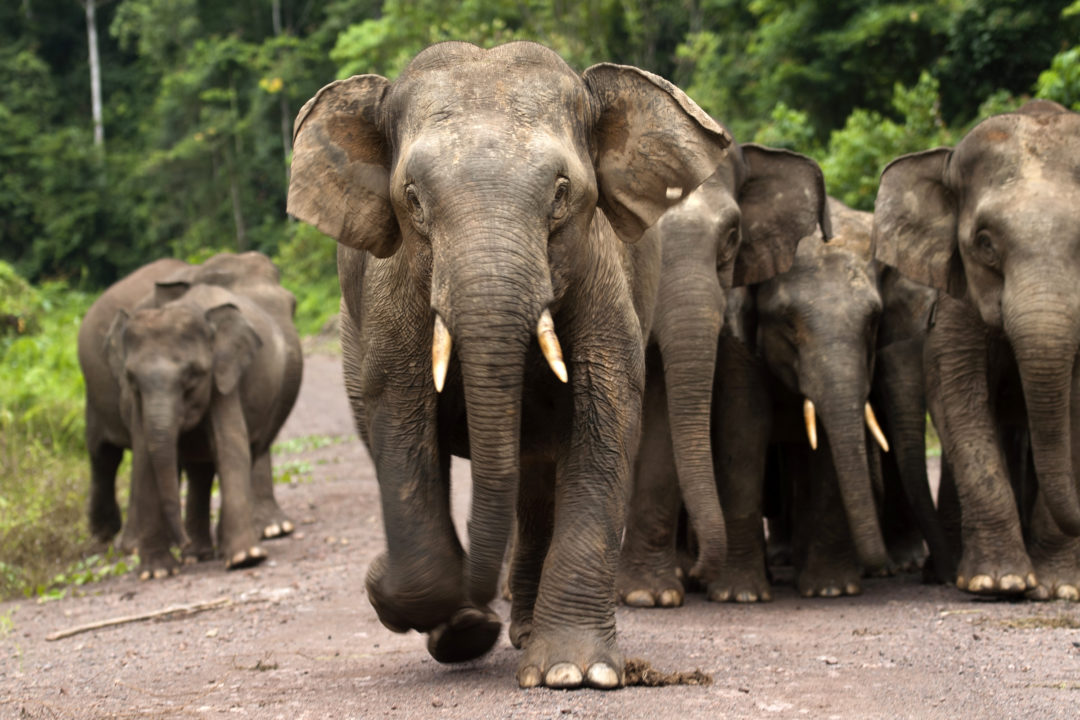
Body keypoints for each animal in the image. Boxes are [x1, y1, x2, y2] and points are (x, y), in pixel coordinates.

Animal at [78, 253, 302, 578]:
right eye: (131, 378)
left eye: (293, 305)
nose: (180, 542)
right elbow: (145, 456)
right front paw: (157, 572)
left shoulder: (225, 376)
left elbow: (230, 445)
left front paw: (247, 555)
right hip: (94, 392)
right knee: (103, 455)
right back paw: (117, 541)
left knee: (204, 467)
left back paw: (197, 551)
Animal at [287, 40, 730, 690]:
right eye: (413, 199)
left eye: (562, 192)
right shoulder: (391, 294)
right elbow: (399, 421)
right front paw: (434, 610)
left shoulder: (602, 273)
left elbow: (607, 417)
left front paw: (574, 673)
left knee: (536, 476)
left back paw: (520, 631)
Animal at [717, 234, 885, 600]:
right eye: (788, 321)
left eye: (873, 321)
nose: (877, 568)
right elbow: (745, 426)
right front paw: (741, 595)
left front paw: (832, 589)